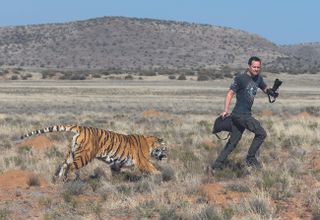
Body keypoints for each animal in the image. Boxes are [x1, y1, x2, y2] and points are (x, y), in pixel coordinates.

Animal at [20, 124, 168, 181]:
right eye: (164, 149)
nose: (166, 156)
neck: (150, 144)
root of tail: (81, 128)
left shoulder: (116, 164)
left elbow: (116, 173)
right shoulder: (142, 161)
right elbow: (152, 167)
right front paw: (159, 175)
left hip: (71, 153)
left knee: (63, 165)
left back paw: (59, 179)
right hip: (85, 156)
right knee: (71, 166)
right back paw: (71, 177)